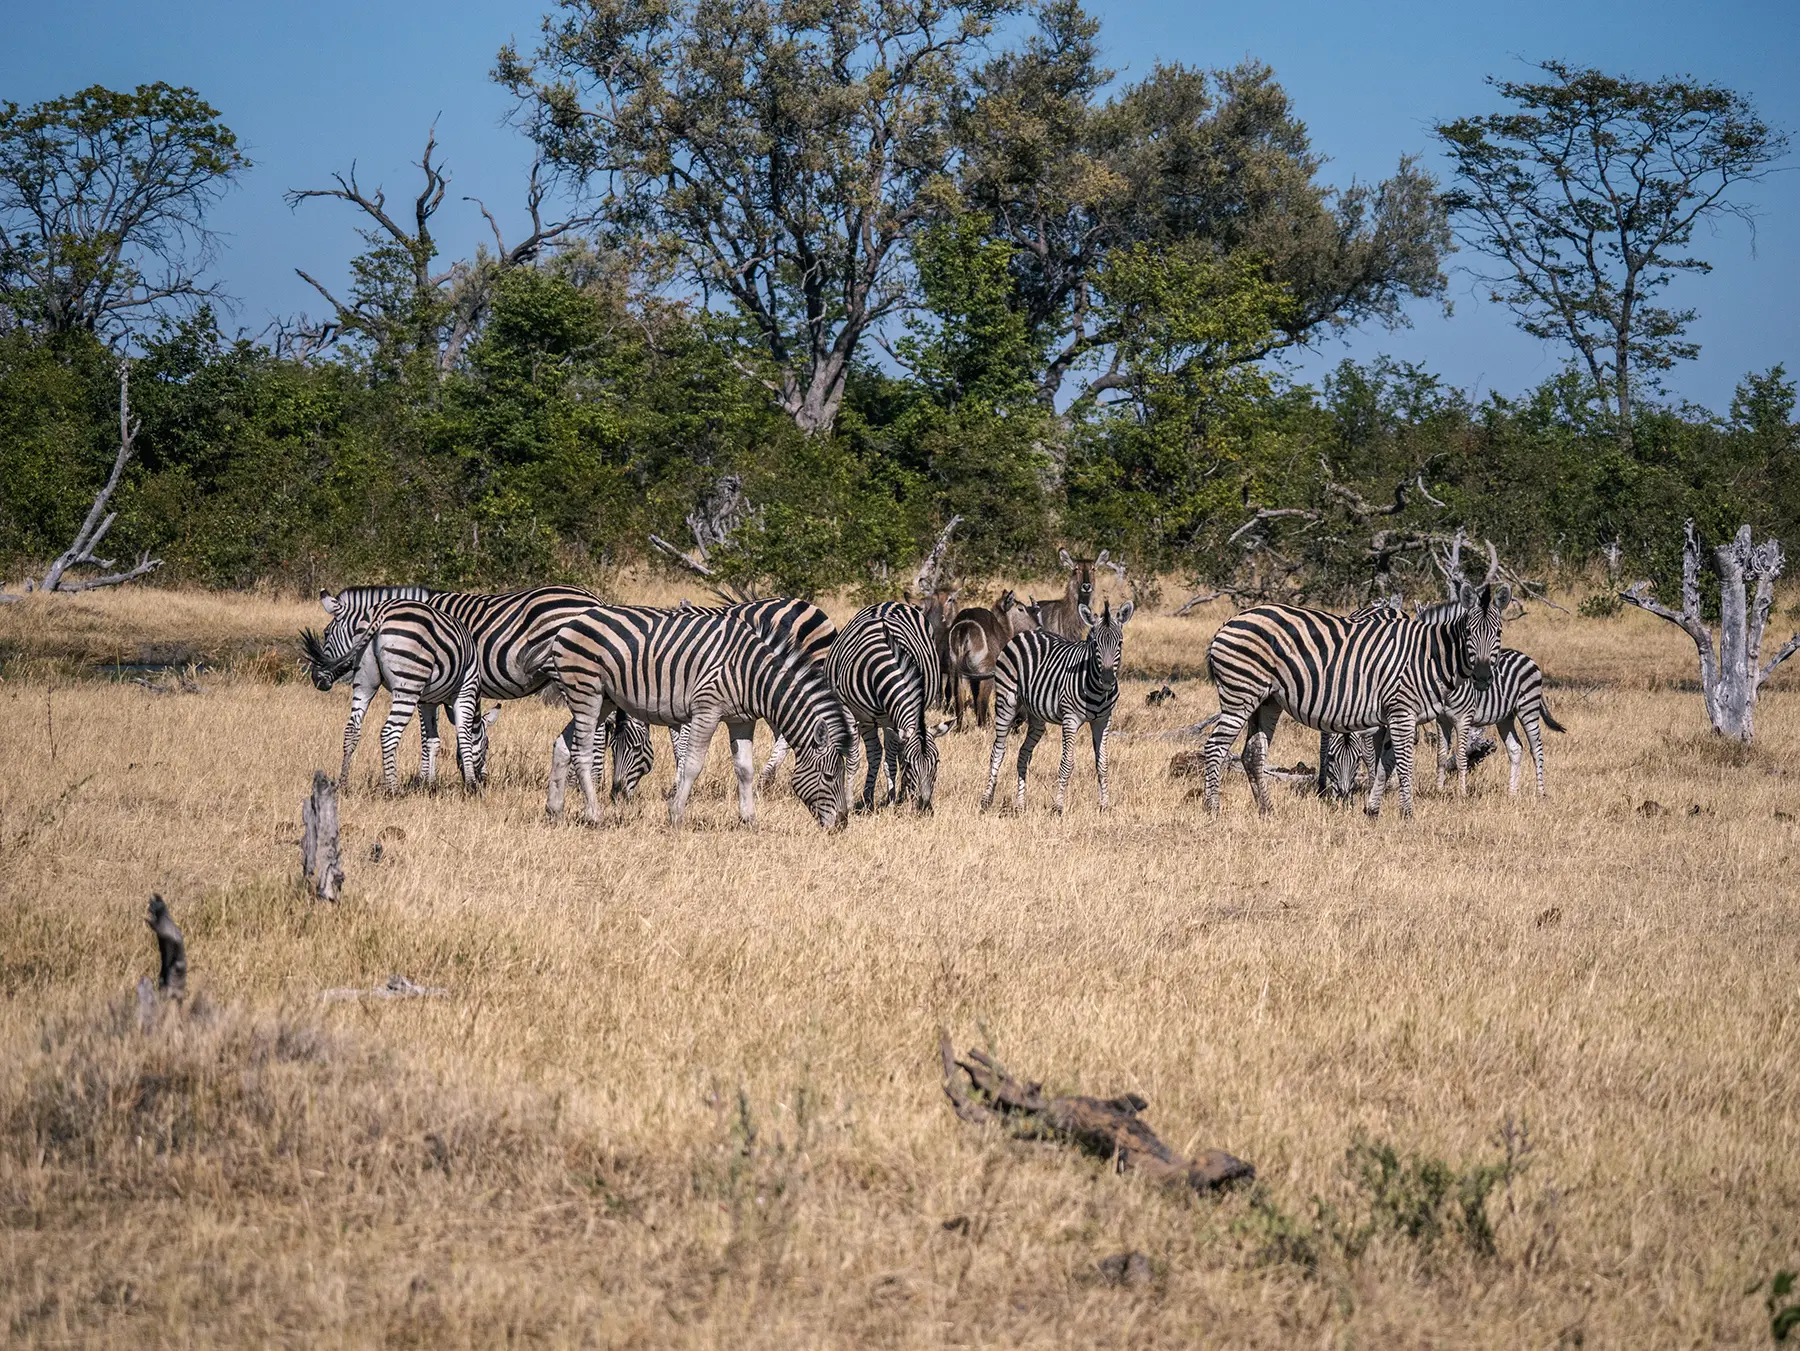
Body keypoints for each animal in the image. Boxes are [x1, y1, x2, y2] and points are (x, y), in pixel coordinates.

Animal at [311, 598, 498, 792]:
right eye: (487, 745)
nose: (484, 779)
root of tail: (381, 613)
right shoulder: (466, 690)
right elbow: (464, 735)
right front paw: (471, 785)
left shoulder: (428, 701)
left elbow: (433, 741)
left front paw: (429, 785)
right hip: (409, 684)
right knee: (388, 733)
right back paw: (393, 789)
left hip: (364, 682)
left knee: (351, 729)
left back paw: (343, 784)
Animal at [544, 606, 854, 829]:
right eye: (829, 776)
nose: (841, 824)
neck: (753, 675)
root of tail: (574, 621)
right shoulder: (707, 709)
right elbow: (693, 764)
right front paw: (676, 814)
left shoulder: (742, 720)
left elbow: (745, 769)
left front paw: (749, 819)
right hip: (586, 691)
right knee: (582, 751)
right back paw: (594, 815)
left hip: (603, 699)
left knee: (562, 744)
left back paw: (554, 810)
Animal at [825, 601, 943, 813]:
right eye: (910, 765)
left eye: (936, 762)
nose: (924, 807)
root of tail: (892, 603)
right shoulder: (850, 711)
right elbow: (854, 759)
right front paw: (848, 801)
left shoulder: (892, 720)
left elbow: (891, 761)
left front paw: (894, 799)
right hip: (866, 720)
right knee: (874, 753)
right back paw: (867, 799)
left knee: (886, 752)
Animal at [980, 600, 1135, 814]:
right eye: (1095, 644)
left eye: (1119, 643)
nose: (1107, 680)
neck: (1096, 689)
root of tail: (1025, 633)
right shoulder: (1070, 719)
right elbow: (1067, 763)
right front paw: (1058, 807)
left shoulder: (1103, 720)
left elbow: (1103, 763)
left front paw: (1105, 805)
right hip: (1006, 702)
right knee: (998, 750)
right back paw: (986, 801)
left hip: (1036, 716)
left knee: (1023, 754)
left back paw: (1020, 804)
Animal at [1202, 580, 1510, 819]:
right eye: (1469, 633)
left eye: (1498, 633)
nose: (1483, 677)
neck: (1429, 657)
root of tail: (1228, 622)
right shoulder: (1402, 711)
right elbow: (1404, 762)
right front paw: (1407, 813)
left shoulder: (1390, 715)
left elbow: (1386, 763)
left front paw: (1372, 810)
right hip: (1240, 694)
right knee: (1214, 747)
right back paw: (1212, 809)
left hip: (1267, 701)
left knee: (1252, 753)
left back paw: (1266, 810)